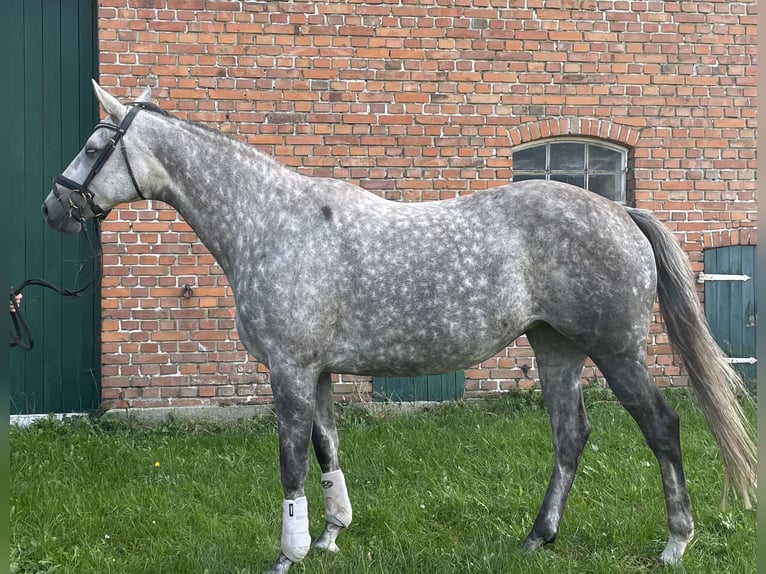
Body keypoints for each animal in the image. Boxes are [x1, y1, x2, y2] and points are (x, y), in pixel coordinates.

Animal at [42, 83, 756, 572]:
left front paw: (288, 553)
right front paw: (331, 535)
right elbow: (327, 449)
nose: (53, 207)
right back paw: (536, 536)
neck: (271, 222)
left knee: (662, 427)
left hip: (617, 352)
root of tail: (621, 212)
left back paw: (675, 542)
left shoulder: (290, 370)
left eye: (93, 147)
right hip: (556, 348)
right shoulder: (317, 372)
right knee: (570, 435)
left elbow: (291, 461)